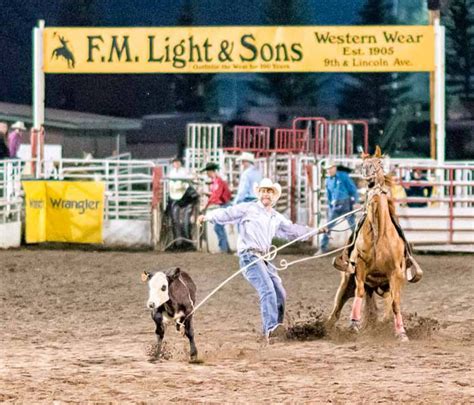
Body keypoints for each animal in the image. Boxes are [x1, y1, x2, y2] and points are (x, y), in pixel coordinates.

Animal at [330, 147, 408, 340]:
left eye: (379, 163)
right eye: (362, 164)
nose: (367, 175)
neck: (380, 234)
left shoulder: (396, 273)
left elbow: (395, 303)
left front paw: (401, 332)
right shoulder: (360, 266)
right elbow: (359, 293)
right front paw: (353, 324)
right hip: (346, 283)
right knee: (336, 310)